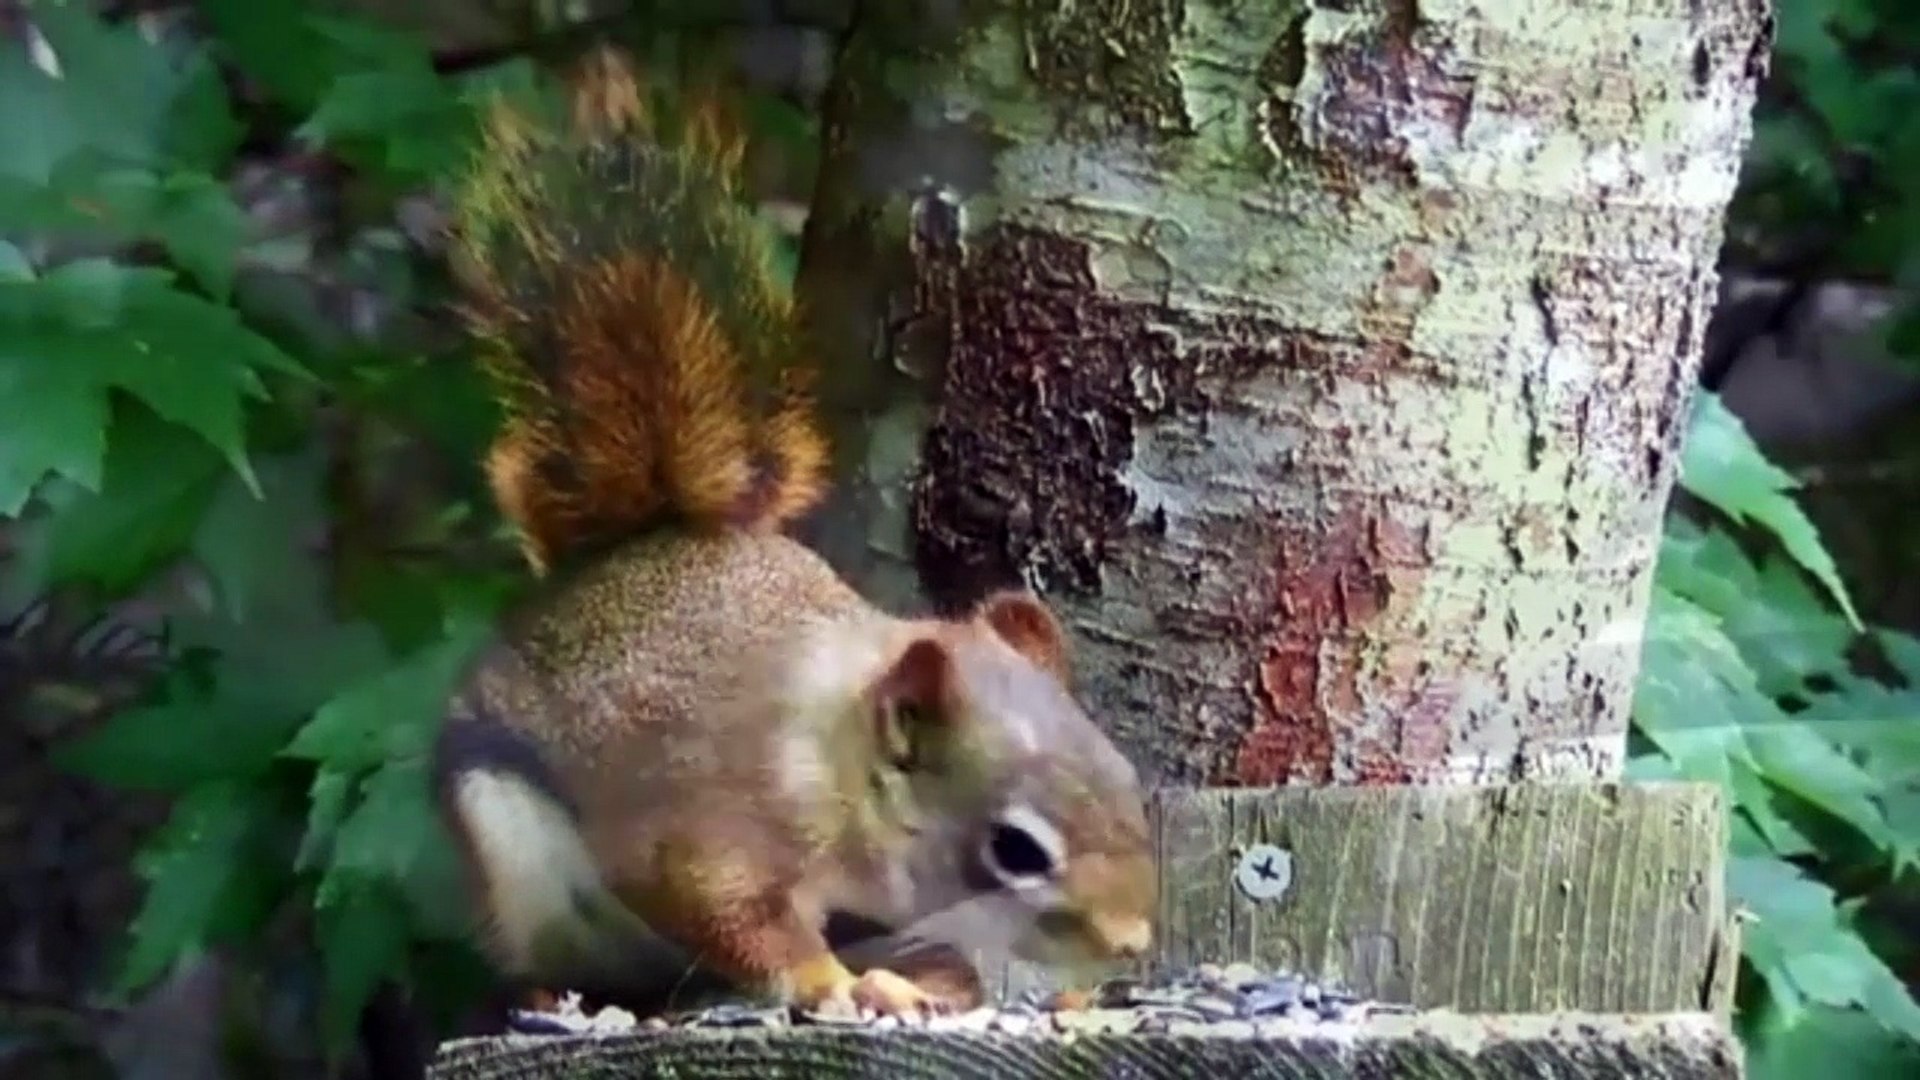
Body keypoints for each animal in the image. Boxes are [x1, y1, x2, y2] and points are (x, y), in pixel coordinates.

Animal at [428, 49, 1155, 1019]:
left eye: (1129, 784)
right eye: (1016, 850)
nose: (1130, 943)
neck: (837, 761)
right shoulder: (710, 831)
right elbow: (724, 910)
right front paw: (831, 983)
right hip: (515, 856)